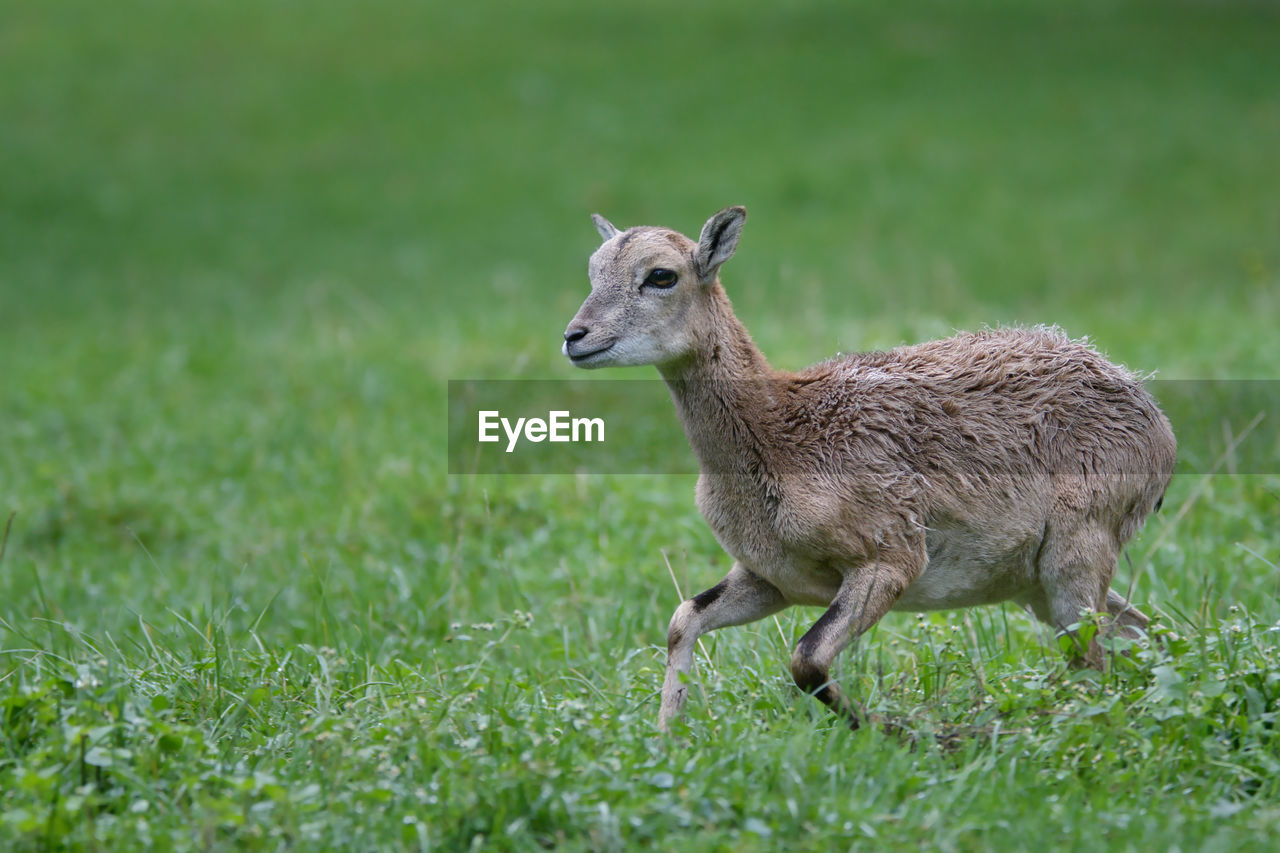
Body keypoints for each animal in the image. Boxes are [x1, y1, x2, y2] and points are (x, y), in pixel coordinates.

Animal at [555, 202, 1172, 727]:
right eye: (592, 270)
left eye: (661, 275)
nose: (575, 337)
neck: (777, 431)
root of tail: (1154, 419)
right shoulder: (769, 578)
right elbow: (684, 620)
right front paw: (667, 737)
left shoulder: (888, 559)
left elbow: (806, 659)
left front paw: (896, 732)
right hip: (1037, 584)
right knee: (1143, 632)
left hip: (1076, 555)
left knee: (1095, 660)